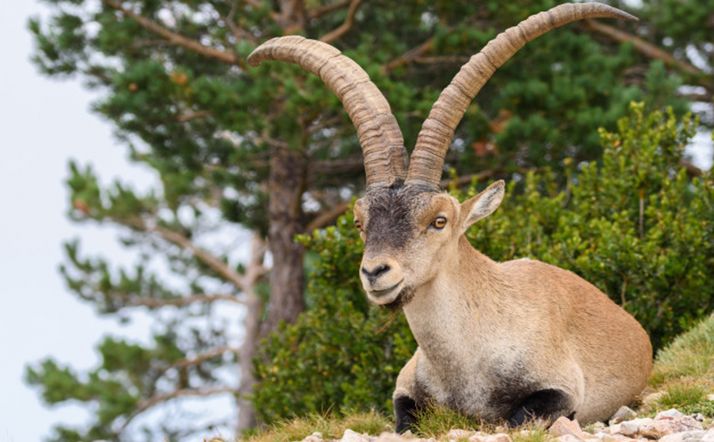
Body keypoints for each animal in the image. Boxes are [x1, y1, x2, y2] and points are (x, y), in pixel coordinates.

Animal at [248, 2, 653, 433]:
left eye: (439, 220)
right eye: (360, 222)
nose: (375, 272)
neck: (467, 361)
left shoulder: (560, 389)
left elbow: (520, 417)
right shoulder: (406, 390)